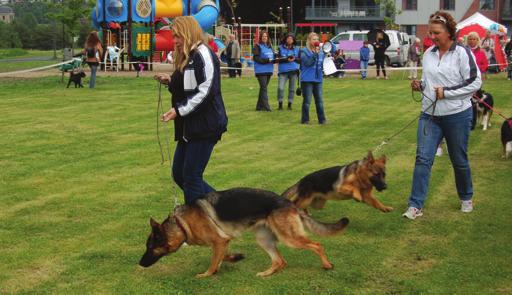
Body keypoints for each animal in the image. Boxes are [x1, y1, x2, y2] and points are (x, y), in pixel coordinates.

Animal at [138, 188, 350, 278]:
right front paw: (234, 258)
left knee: (316, 245)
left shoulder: (219, 241)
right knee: (280, 261)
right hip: (263, 238)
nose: (139, 263)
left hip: (289, 238)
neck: (181, 224)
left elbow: (214, 261)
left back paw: (327, 265)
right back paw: (266, 273)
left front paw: (206, 274)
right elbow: (221, 256)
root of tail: (290, 203)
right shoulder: (224, 241)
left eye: (150, 247)